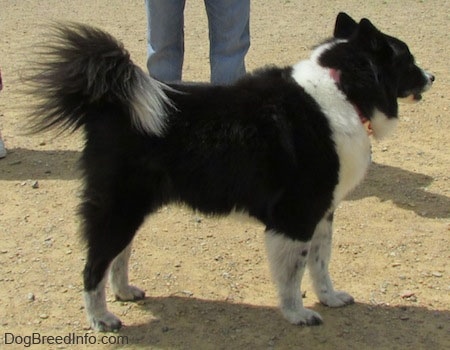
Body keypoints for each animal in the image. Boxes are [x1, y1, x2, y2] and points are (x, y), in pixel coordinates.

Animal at [29, 13, 432, 330]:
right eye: (408, 59)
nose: (431, 76)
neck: (343, 89)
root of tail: (111, 101)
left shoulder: (322, 212)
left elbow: (321, 262)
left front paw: (329, 297)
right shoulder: (296, 216)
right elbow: (294, 273)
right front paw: (297, 314)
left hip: (133, 209)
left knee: (118, 256)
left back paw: (125, 292)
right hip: (118, 208)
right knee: (93, 266)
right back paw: (101, 319)